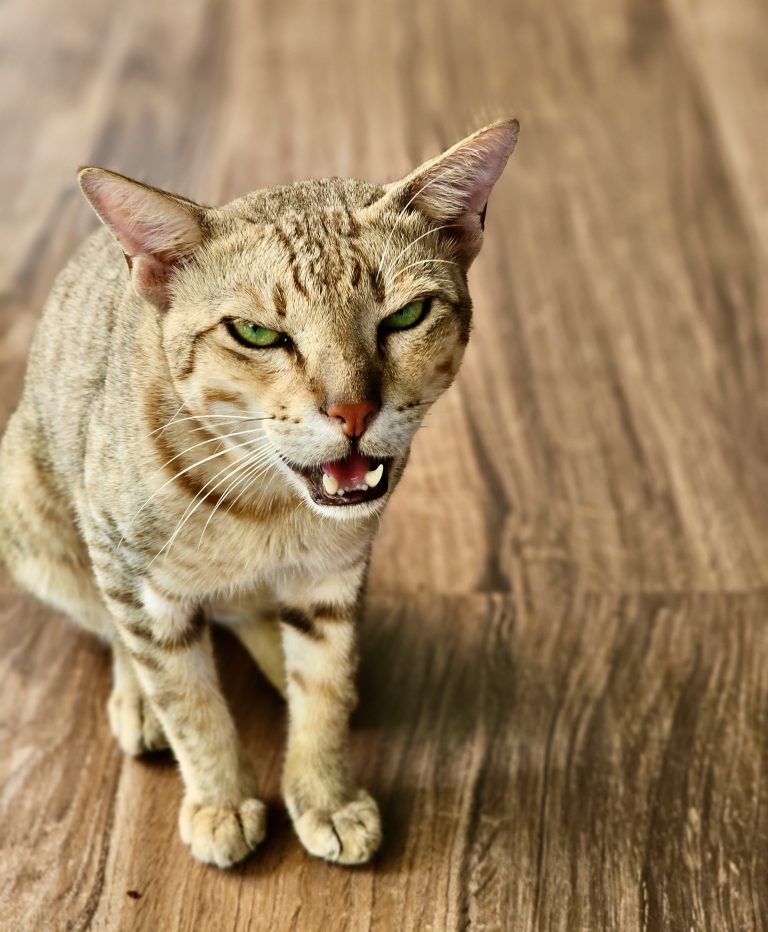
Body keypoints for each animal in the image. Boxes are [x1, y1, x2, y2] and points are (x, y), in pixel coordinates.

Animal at [0, 120, 520, 872]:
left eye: (407, 316)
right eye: (256, 334)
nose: (353, 410)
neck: (268, 506)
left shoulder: (334, 576)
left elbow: (321, 690)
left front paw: (326, 793)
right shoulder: (127, 567)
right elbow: (188, 700)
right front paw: (219, 798)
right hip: (35, 515)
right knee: (112, 629)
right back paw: (139, 700)